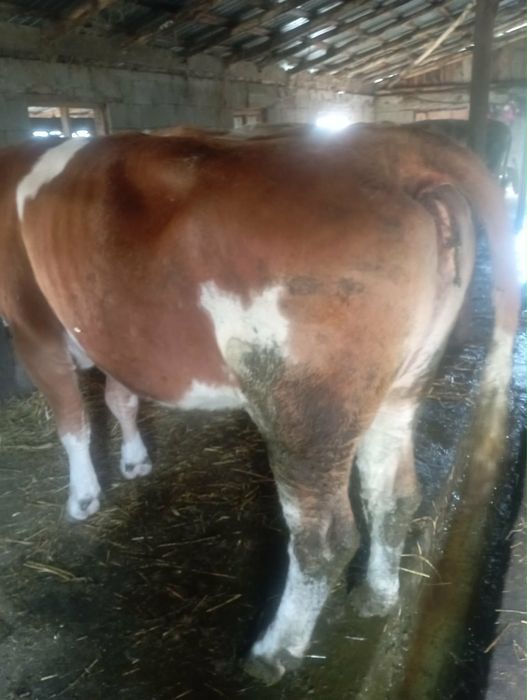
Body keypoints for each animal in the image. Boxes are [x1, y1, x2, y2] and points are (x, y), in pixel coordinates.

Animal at [0, 124, 519, 683]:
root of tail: (393, 147)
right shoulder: (113, 335)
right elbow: (120, 397)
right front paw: (134, 460)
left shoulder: (30, 321)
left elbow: (71, 420)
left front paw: (83, 497)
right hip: (404, 380)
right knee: (393, 493)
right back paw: (377, 596)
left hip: (302, 408)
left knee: (323, 539)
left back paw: (275, 652)